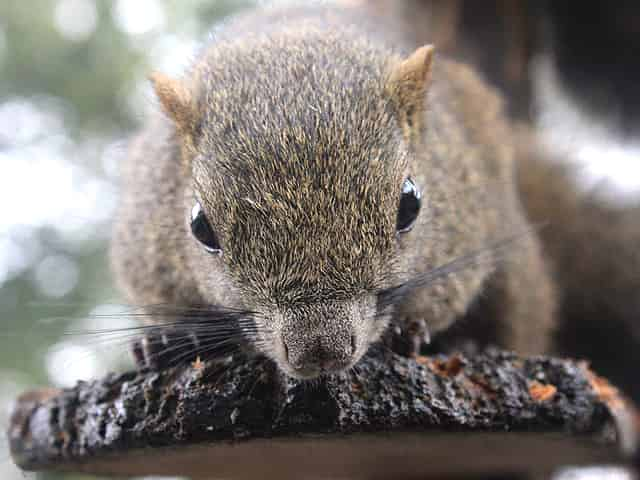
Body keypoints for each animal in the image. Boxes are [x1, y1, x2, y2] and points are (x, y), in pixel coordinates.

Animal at [110, 3, 556, 378]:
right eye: (201, 228)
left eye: (410, 206)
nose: (321, 350)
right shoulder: (146, 250)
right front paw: (164, 343)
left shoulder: (462, 236)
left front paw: (410, 331)